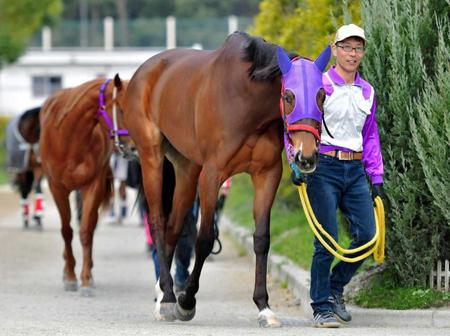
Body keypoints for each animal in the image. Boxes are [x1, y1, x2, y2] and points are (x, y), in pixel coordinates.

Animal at [38, 75, 128, 296]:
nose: (133, 145)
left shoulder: (92, 185)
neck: (69, 140)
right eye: (121, 108)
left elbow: (86, 231)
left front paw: (86, 279)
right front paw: (70, 277)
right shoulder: (56, 187)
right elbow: (66, 231)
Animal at [124, 31, 330, 326]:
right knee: (158, 222)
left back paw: (164, 293)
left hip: (186, 168)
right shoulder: (212, 175)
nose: (307, 157)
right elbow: (205, 239)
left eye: (322, 95)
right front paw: (187, 301)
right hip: (152, 157)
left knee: (174, 226)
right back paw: (169, 300)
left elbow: (262, 239)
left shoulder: (267, 175)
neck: (245, 100)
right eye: (289, 96)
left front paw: (264, 307)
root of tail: (145, 70)